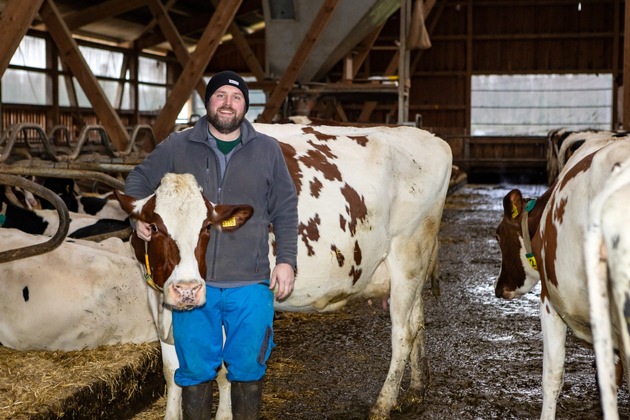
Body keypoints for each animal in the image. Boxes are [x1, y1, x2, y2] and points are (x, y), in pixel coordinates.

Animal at [117, 124, 454, 420]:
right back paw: (416, 389)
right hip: (414, 265)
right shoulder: (158, 299)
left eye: (206, 227)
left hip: (408, 253)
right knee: (417, 322)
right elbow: (173, 370)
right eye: (155, 227)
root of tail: (431, 138)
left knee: (402, 334)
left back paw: (383, 405)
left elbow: (225, 370)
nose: (187, 289)